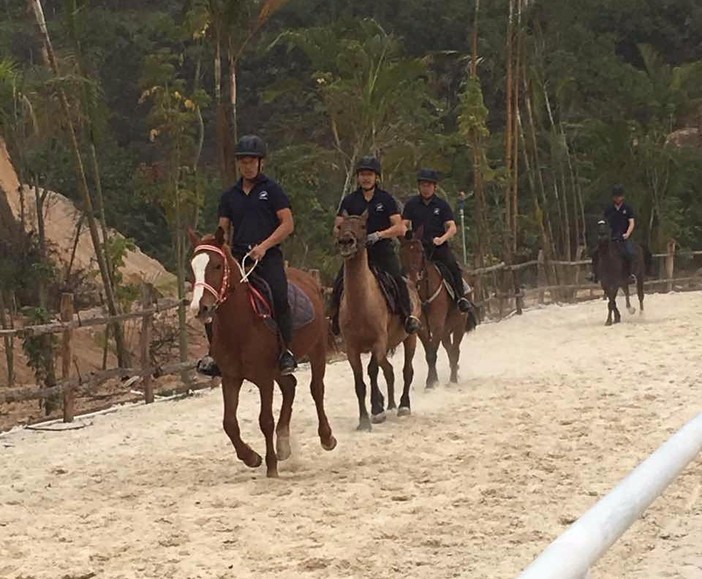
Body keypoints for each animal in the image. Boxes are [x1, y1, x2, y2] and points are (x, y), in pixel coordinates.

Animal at [188, 229, 336, 478]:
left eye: (217, 265)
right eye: (193, 266)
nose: (200, 308)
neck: (240, 325)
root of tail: (309, 279)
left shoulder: (264, 379)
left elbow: (265, 420)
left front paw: (271, 466)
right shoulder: (231, 378)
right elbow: (229, 423)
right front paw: (251, 458)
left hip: (317, 349)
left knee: (316, 389)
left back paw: (326, 437)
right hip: (279, 368)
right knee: (290, 386)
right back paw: (283, 444)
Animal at [334, 211, 418, 432]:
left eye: (363, 226)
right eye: (340, 226)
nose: (346, 242)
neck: (361, 304)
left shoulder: (378, 342)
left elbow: (373, 371)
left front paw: (377, 411)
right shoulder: (352, 349)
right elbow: (360, 382)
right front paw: (365, 419)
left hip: (410, 338)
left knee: (407, 370)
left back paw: (403, 405)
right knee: (387, 371)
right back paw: (389, 404)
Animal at [398, 234, 476, 390]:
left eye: (420, 251)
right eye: (401, 253)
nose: (412, 277)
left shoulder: (437, 325)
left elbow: (433, 352)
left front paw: (431, 382)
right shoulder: (422, 328)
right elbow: (429, 352)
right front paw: (432, 381)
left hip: (459, 325)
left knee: (455, 350)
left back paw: (453, 379)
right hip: (446, 330)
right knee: (449, 349)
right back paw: (455, 371)